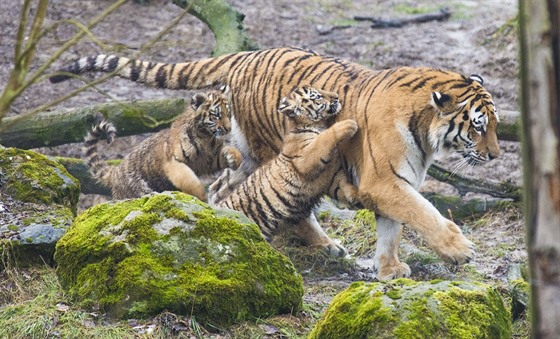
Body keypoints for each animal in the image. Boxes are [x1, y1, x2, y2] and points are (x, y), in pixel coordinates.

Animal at [50, 47, 500, 282]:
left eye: (495, 124)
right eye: (478, 126)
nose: (496, 155)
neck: (426, 133)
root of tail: (243, 54)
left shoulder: (394, 181)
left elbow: (392, 228)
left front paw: (390, 269)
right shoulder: (384, 180)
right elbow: (423, 214)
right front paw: (459, 251)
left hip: (242, 155)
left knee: (224, 189)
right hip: (271, 150)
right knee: (287, 200)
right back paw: (320, 243)